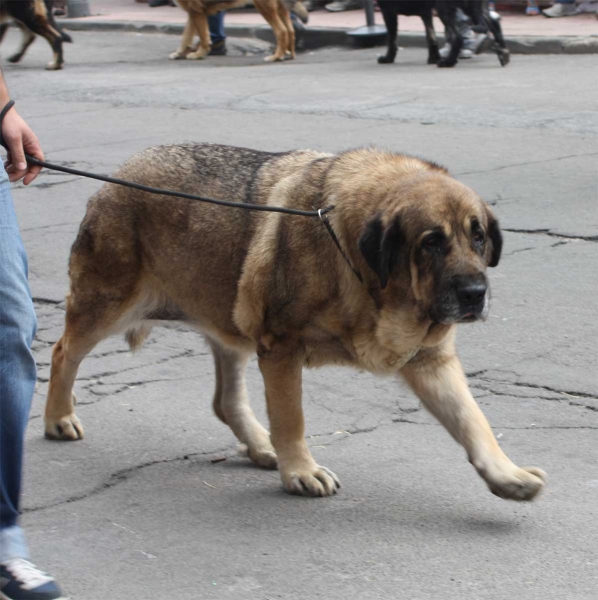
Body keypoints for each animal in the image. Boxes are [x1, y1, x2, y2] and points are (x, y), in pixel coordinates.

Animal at [42, 144, 548, 502]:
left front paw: (506, 474)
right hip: (106, 306)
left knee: (226, 401)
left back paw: (259, 445)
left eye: (478, 237)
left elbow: (472, 420)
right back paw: (58, 417)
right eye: (431, 242)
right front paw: (301, 471)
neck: (372, 279)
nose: (474, 293)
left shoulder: (431, 362)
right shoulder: (281, 348)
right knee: (62, 352)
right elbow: (292, 417)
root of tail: (114, 178)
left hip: (230, 325)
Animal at [171, 0, 308, 62]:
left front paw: (199, 54)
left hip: (264, 6)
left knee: (282, 31)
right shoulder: (193, 12)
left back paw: (276, 56)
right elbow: (186, 36)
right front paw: (180, 53)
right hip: (280, 8)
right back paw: (288, 53)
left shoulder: (196, 12)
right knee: (290, 30)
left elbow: (203, 37)